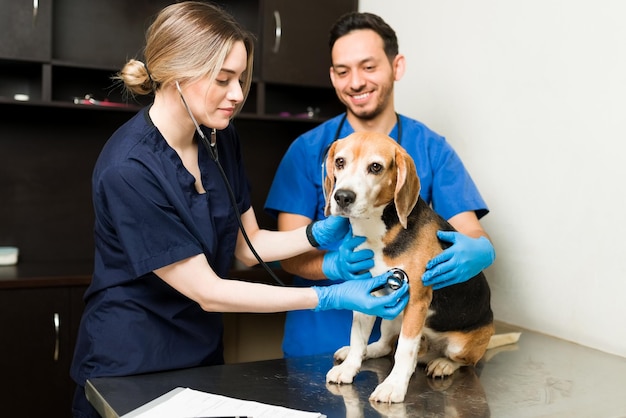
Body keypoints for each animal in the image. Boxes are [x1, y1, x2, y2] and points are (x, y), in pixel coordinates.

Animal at [322, 132, 516, 404]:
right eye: (340, 162)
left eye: (375, 167)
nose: (342, 197)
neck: (378, 230)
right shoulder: (364, 294)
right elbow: (358, 337)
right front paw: (350, 366)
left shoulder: (416, 301)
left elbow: (404, 350)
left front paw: (394, 386)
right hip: (392, 315)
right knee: (384, 345)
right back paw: (361, 352)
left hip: (457, 343)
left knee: (463, 361)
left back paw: (443, 364)